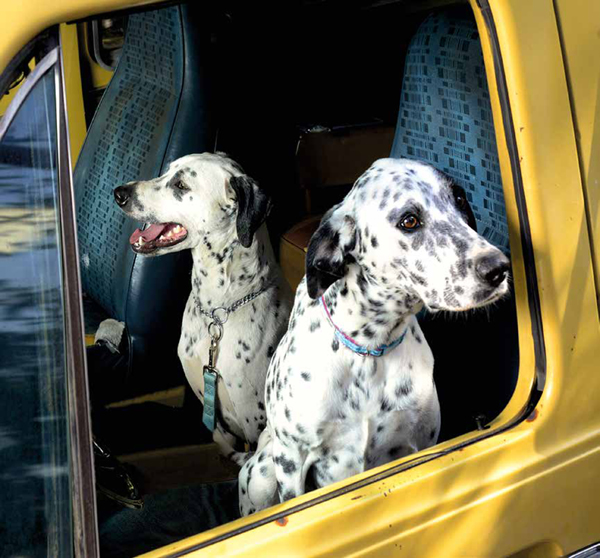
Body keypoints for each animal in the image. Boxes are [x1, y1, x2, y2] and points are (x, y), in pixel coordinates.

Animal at [237, 158, 508, 516]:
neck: (370, 347)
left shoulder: (419, 445)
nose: (499, 268)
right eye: (409, 220)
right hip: (265, 472)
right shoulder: (292, 461)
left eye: (460, 199)